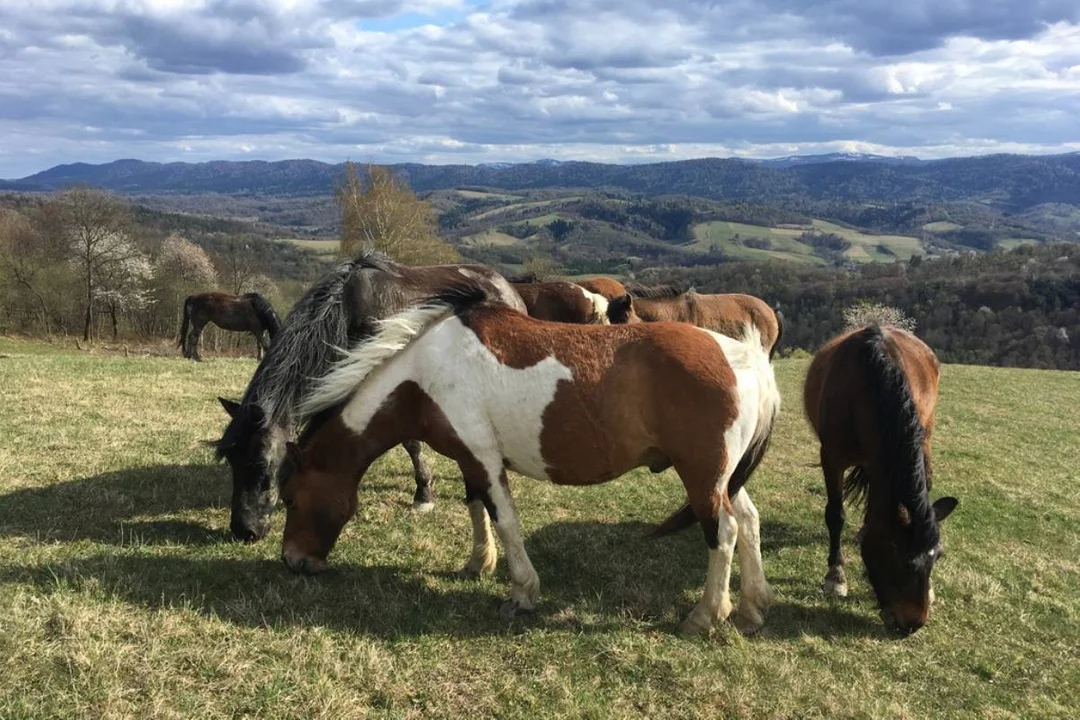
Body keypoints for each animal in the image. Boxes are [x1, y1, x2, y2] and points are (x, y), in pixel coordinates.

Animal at [211, 252, 527, 539]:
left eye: (262, 465)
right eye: (231, 461)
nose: (244, 531)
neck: (345, 315)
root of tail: (507, 287)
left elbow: (409, 442)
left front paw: (423, 495)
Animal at [803, 325, 963, 634]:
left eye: (937, 556)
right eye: (898, 559)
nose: (913, 624)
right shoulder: (831, 458)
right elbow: (836, 515)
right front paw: (835, 575)